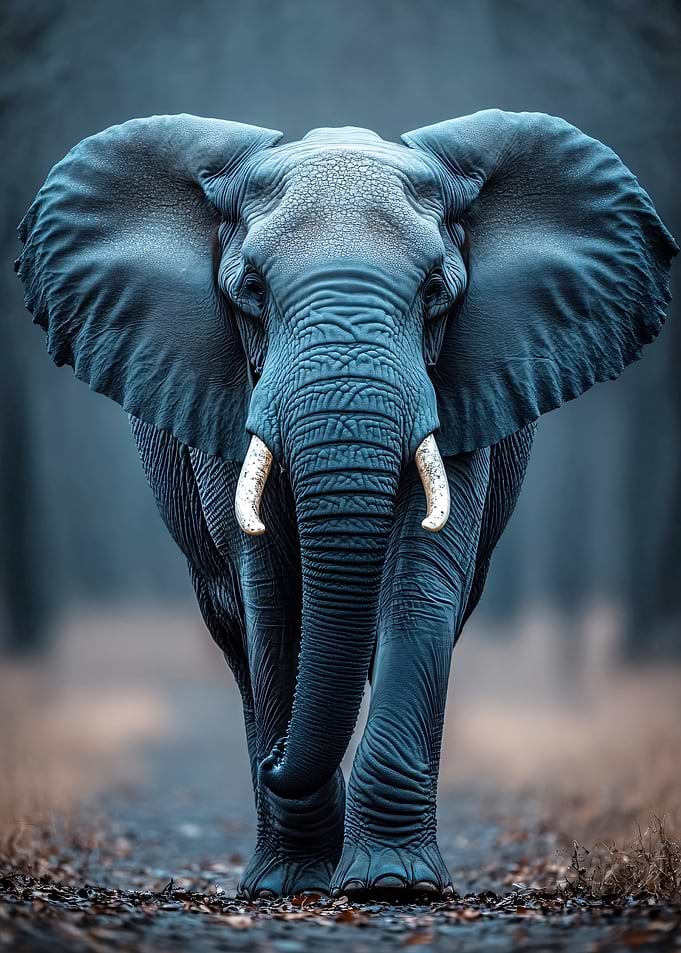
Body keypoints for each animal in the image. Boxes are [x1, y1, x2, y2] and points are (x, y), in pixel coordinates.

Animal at [16, 110, 676, 900]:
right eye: (250, 290)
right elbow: (271, 600)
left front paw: (393, 885)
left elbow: (419, 584)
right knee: (238, 631)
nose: (277, 762)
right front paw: (289, 884)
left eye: (435, 291)